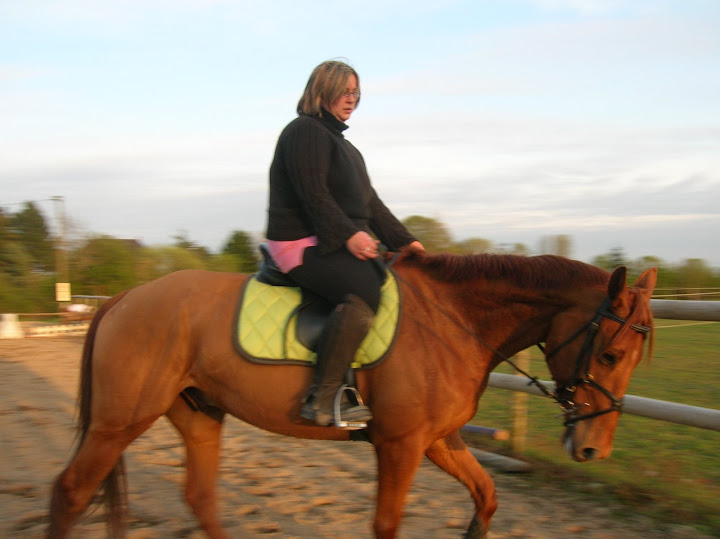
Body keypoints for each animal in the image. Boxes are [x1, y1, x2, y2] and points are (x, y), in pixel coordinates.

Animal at [47, 251, 656, 539]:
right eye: (609, 355)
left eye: (633, 358)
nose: (592, 449)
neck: (454, 321)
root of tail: (124, 298)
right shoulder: (400, 445)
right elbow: (386, 525)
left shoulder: (439, 440)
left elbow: (486, 497)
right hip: (119, 421)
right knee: (72, 492)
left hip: (199, 415)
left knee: (199, 498)